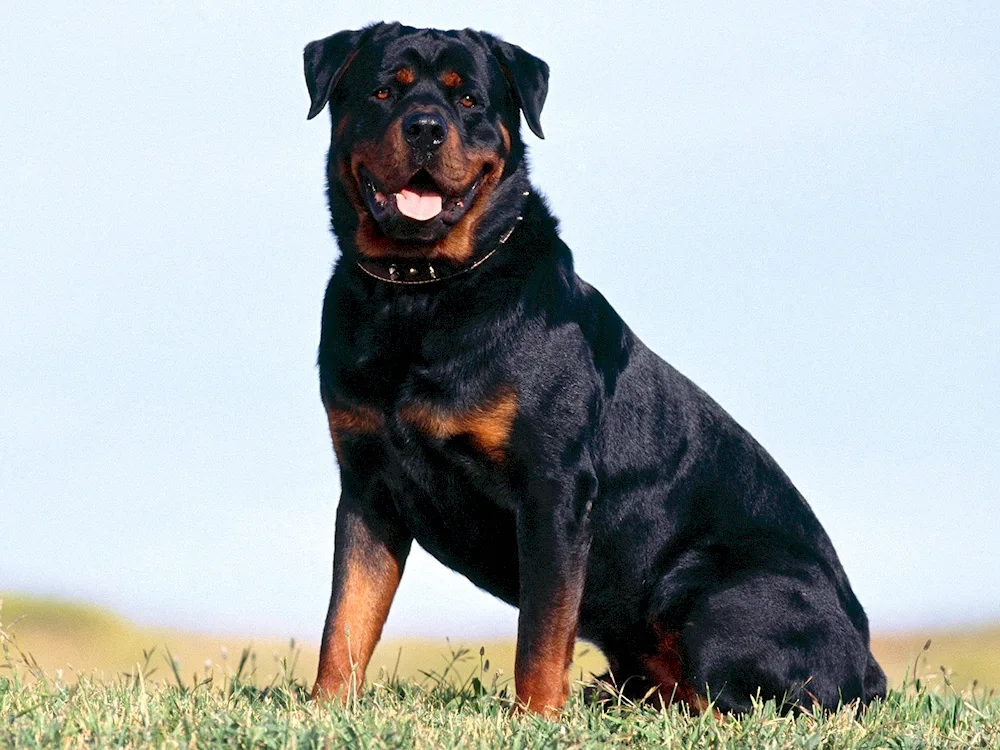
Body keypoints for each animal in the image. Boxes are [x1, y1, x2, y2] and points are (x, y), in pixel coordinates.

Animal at [302, 22, 884, 716]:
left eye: (468, 100)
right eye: (385, 91)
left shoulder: (553, 486)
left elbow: (542, 630)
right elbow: (346, 619)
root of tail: (871, 669)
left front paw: (534, 717)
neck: (420, 294)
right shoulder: (368, 485)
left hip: (713, 587)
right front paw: (325, 709)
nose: (425, 128)